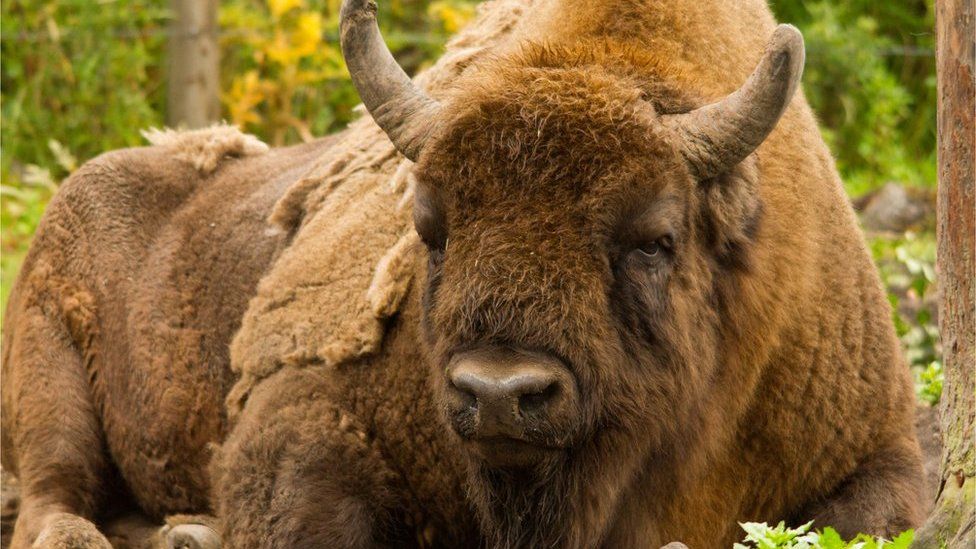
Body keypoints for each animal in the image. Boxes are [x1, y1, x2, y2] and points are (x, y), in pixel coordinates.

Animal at [3, 0, 928, 544]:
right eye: (430, 228)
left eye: (655, 239)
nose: (499, 392)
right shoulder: (302, 418)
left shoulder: (880, 452)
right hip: (49, 369)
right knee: (53, 495)